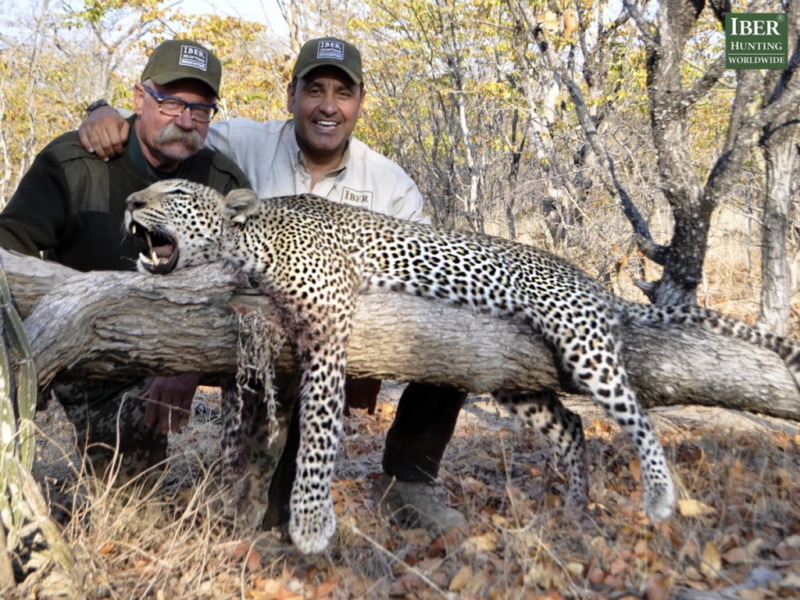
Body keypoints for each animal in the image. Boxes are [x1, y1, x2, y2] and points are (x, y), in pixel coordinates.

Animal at [123, 178, 800, 552]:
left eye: (175, 194)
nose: (131, 200)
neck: (248, 240)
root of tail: (589, 280)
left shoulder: (331, 324)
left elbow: (316, 431)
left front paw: (310, 522)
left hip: (580, 339)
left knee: (634, 412)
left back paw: (658, 495)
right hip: (512, 378)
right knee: (573, 425)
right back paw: (576, 506)